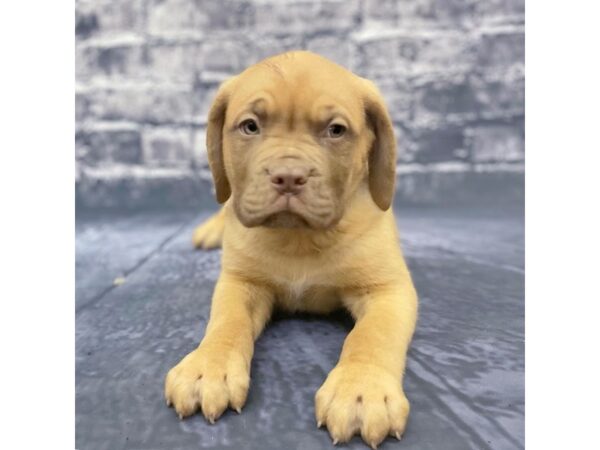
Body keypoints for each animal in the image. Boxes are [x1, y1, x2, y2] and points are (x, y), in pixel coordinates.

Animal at [164, 51, 418, 448]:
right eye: (250, 127)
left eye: (335, 130)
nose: (288, 177)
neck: (298, 237)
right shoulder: (241, 282)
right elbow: (227, 322)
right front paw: (208, 366)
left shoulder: (388, 290)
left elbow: (371, 335)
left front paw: (361, 389)